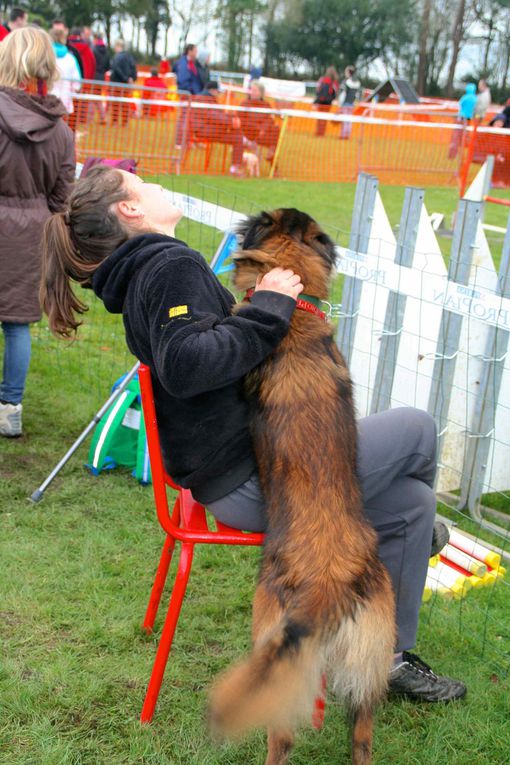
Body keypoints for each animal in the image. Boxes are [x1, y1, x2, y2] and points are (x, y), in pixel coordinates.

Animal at [207, 209, 394, 764]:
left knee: (280, 740)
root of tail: (328, 580)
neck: (296, 314)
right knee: (361, 740)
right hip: (367, 674)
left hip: (272, 645)